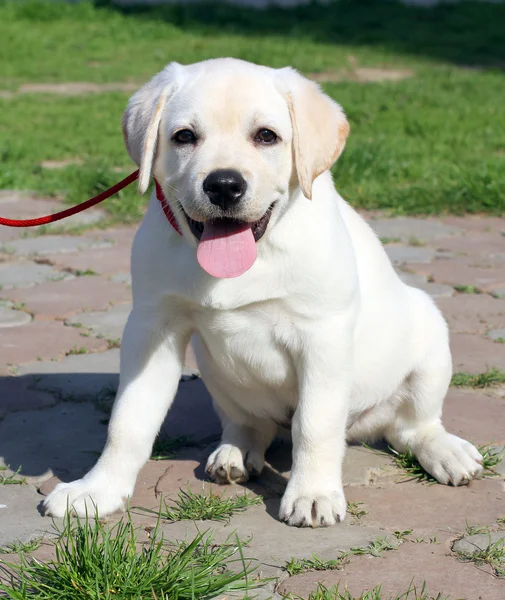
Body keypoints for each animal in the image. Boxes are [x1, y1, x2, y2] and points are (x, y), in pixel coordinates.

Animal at [45, 59, 482, 524]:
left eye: (266, 136)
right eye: (184, 137)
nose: (223, 185)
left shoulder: (322, 335)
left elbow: (315, 423)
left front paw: (313, 493)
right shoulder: (152, 327)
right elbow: (128, 419)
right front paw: (97, 489)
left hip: (429, 341)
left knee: (411, 428)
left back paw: (445, 452)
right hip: (217, 374)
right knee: (252, 423)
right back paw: (235, 453)